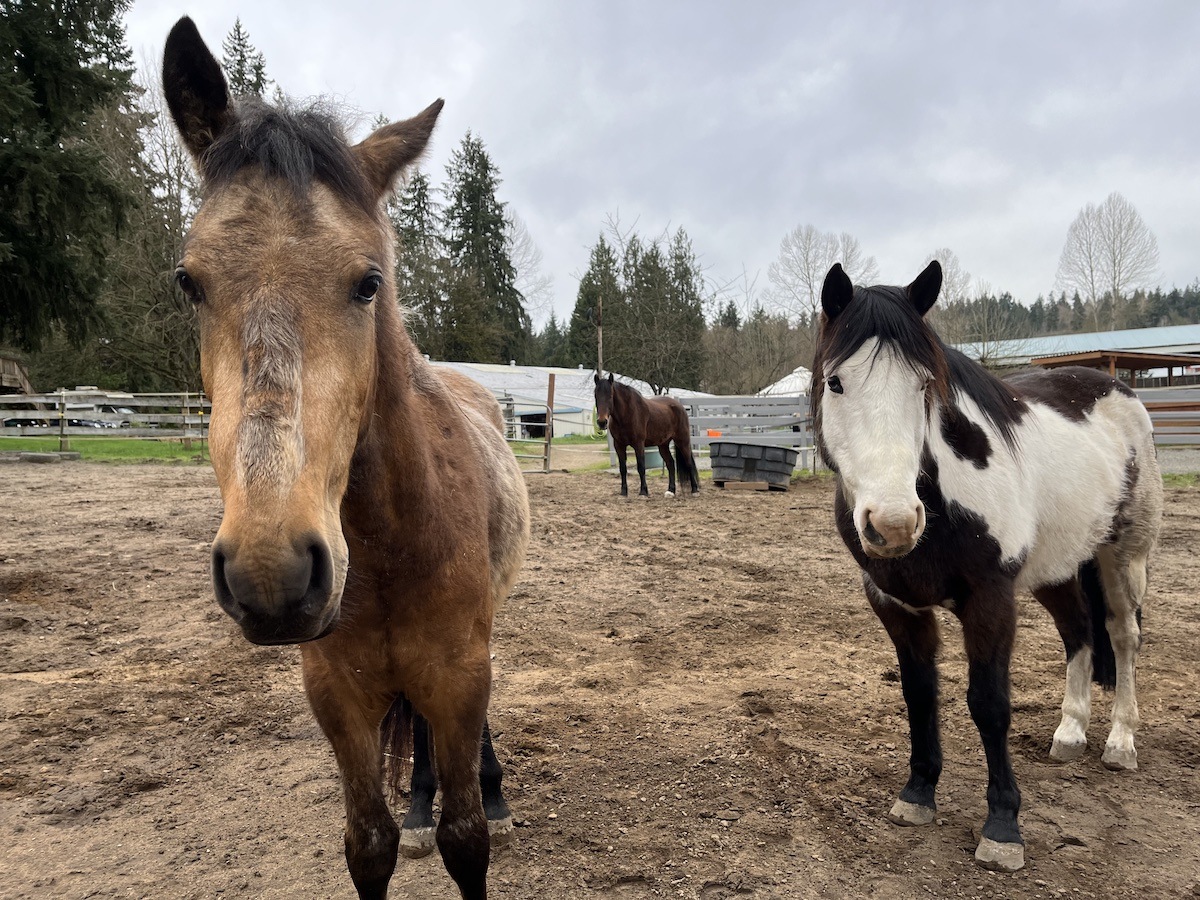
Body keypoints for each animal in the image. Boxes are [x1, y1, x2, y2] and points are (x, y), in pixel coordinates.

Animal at [160, 17, 530, 897]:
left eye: (368, 282)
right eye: (189, 282)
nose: (272, 573)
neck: (394, 542)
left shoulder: (460, 674)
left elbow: (469, 839)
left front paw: (478, 809)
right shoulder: (337, 696)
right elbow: (369, 843)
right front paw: (414, 816)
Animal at [816, 259, 1161, 873]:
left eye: (924, 384)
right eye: (836, 382)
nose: (894, 524)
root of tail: (1118, 389)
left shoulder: (990, 600)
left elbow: (990, 705)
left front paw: (1003, 827)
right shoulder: (896, 605)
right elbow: (919, 693)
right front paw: (918, 794)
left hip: (1123, 555)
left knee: (1122, 636)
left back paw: (1121, 741)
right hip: (1057, 567)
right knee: (1078, 632)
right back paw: (1070, 732)